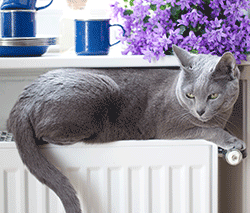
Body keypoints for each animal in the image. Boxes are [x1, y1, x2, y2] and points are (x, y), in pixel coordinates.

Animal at [6, 45, 246, 211]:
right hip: (100, 87)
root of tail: (23, 100)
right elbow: (209, 130)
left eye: (213, 96)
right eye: (190, 95)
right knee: (44, 134)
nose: (200, 111)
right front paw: (235, 142)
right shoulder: (172, 128)